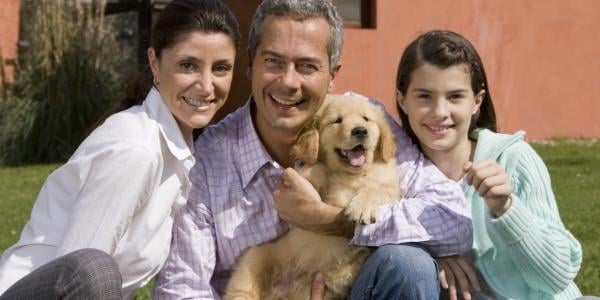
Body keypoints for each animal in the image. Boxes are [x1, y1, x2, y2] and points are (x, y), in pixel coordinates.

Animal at [223, 94, 400, 300]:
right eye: (337, 121)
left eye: (366, 119)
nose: (360, 131)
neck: (349, 174)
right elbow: (315, 168)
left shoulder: (391, 187)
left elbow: (375, 190)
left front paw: (361, 208)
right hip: (254, 260)